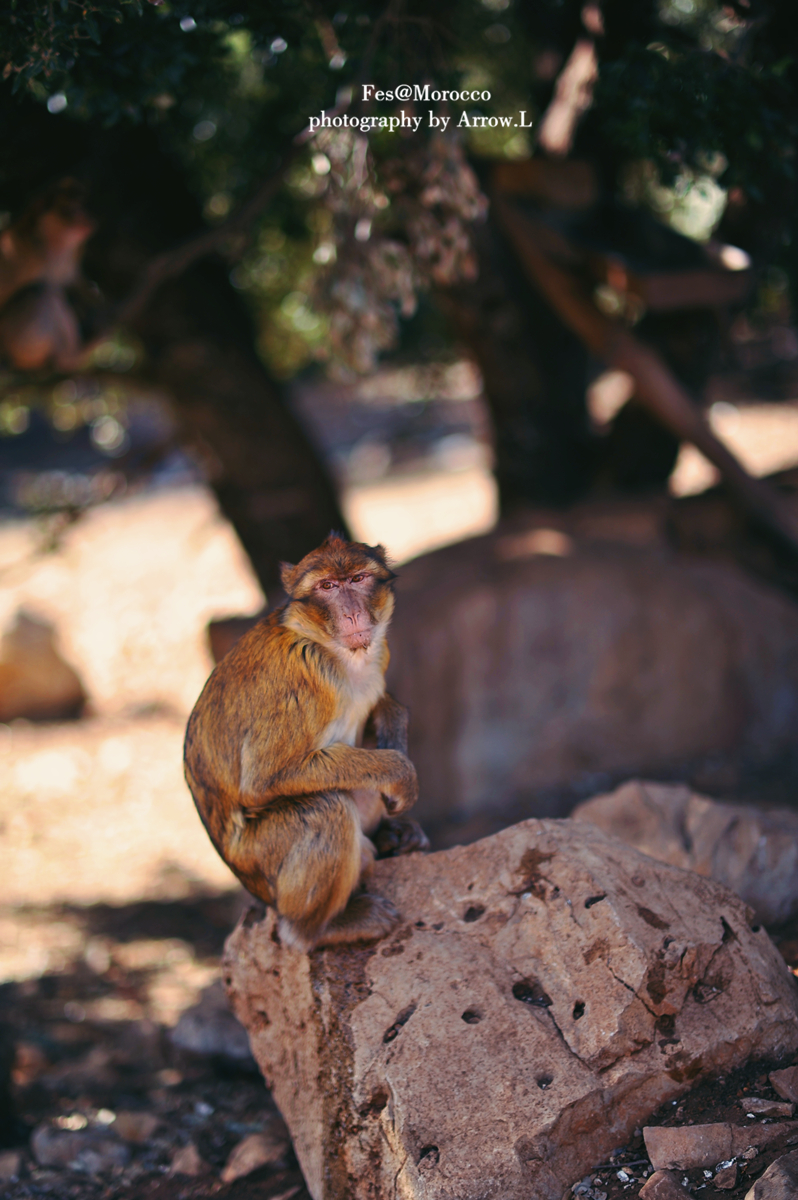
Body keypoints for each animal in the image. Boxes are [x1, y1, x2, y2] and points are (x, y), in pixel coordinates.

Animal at [183, 532, 427, 945]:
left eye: (358, 579)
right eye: (327, 587)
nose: (352, 614)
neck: (334, 651)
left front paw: (394, 720)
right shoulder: (303, 677)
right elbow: (265, 779)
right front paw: (401, 771)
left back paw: (392, 838)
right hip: (265, 859)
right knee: (327, 808)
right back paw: (320, 930)